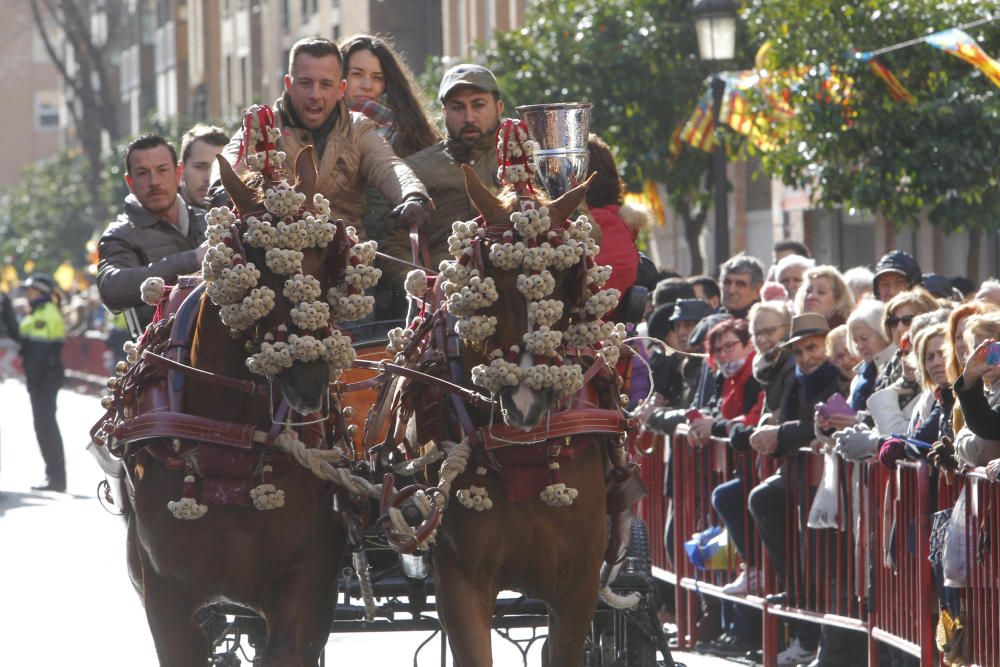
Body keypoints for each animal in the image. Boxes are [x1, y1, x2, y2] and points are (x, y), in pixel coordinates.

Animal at [101, 147, 350, 667]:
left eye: (327, 257)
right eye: (253, 258)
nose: (310, 379)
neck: (231, 438)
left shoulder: (310, 580)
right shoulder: (167, 596)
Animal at [386, 163, 636, 667]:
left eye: (565, 279)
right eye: (491, 283)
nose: (525, 402)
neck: (524, 452)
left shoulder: (578, 586)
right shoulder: (460, 583)